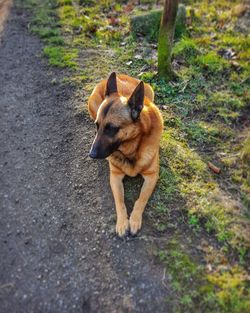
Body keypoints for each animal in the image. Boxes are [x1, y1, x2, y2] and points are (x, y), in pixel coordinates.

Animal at [87, 72, 163, 235]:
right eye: (97, 126)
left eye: (111, 128)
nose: (91, 155)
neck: (131, 150)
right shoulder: (115, 176)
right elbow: (119, 200)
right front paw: (122, 222)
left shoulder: (152, 176)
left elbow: (141, 199)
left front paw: (134, 220)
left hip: (150, 91)